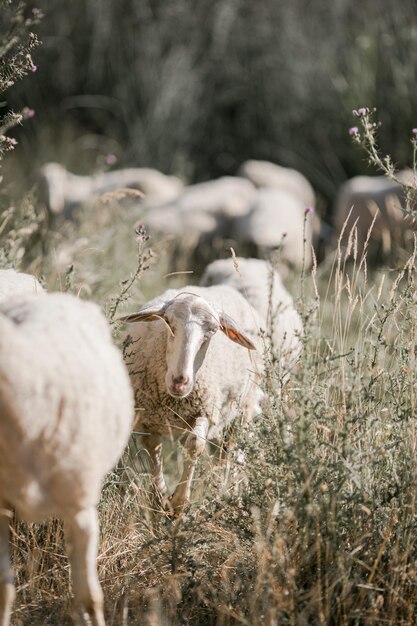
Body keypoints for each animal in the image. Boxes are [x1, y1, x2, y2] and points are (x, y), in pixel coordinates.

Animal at [121, 282, 264, 512]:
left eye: (212, 332)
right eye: (168, 322)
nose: (180, 381)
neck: (173, 400)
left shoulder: (207, 410)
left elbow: (195, 444)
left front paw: (179, 502)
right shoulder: (148, 419)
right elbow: (152, 451)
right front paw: (161, 500)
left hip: (243, 410)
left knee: (232, 452)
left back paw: (228, 491)